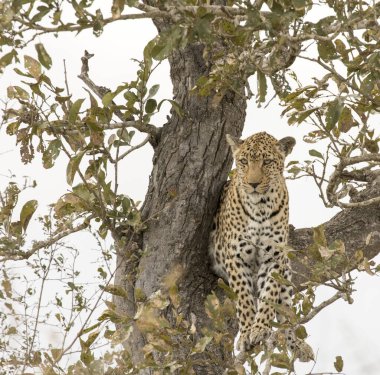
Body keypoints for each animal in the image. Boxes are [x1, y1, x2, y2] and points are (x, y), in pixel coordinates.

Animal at [209, 131, 314, 362]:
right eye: (244, 162)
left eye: (267, 162)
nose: (253, 183)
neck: (260, 207)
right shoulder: (236, 257)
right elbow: (244, 298)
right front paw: (247, 332)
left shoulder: (274, 257)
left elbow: (269, 297)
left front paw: (259, 329)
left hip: (286, 271)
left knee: (286, 313)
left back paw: (297, 344)